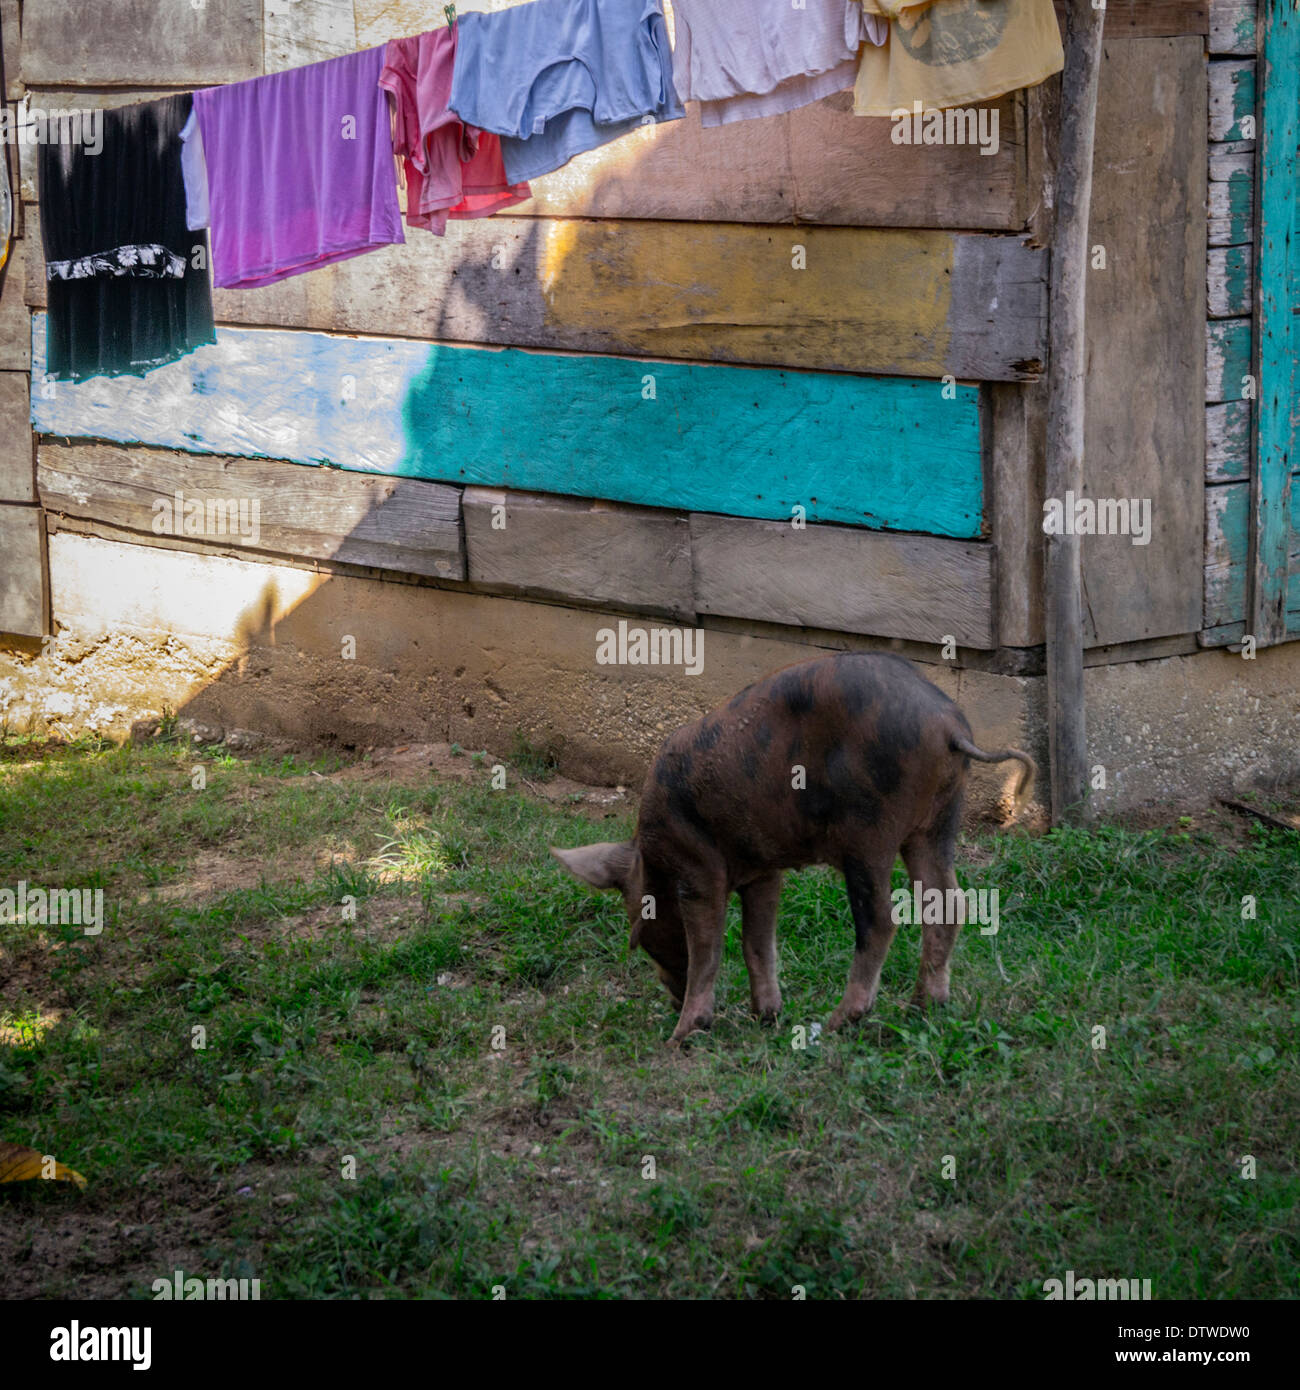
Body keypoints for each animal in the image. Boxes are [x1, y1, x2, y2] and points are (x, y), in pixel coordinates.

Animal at [552, 652, 1034, 1045]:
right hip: (936, 824)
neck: (652, 860)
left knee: (881, 920)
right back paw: (921, 1009)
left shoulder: (698, 871)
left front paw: (681, 1037)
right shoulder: (763, 872)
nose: (670, 1001)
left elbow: (709, 949)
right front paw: (767, 1017)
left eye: (643, 935)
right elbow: (755, 943)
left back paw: (840, 1022)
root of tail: (948, 724)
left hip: (870, 832)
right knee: (948, 904)